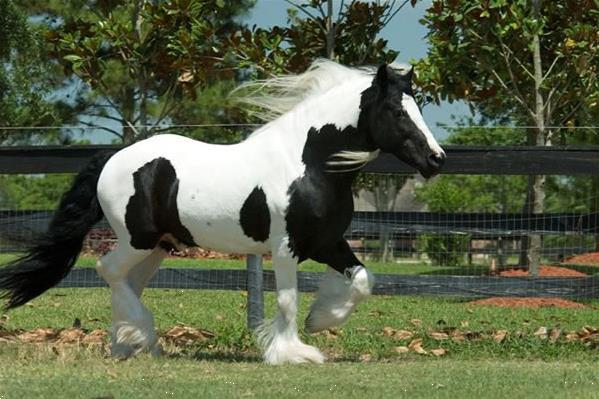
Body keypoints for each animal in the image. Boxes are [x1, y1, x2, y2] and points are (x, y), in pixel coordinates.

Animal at [0, 60, 446, 366]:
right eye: (399, 112)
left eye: (419, 110)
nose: (436, 159)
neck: (309, 164)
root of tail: (114, 157)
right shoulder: (285, 247)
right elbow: (287, 301)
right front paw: (293, 352)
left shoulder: (327, 242)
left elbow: (363, 280)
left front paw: (321, 320)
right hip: (136, 240)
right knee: (107, 270)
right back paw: (140, 337)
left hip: (158, 247)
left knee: (127, 281)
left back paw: (131, 343)